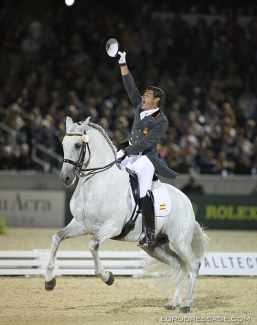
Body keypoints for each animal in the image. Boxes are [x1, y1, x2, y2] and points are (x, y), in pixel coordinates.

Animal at [44, 116, 208, 312]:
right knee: (179, 265)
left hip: (180, 242)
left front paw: (108, 277)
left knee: (193, 265)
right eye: (63, 144)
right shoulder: (81, 225)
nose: (66, 178)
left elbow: (92, 245)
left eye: (77, 145)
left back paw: (186, 304)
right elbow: (56, 237)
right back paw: (174, 302)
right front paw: (49, 281)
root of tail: (186, 202)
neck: (96, 182)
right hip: (154, 246)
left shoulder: (112, 227)